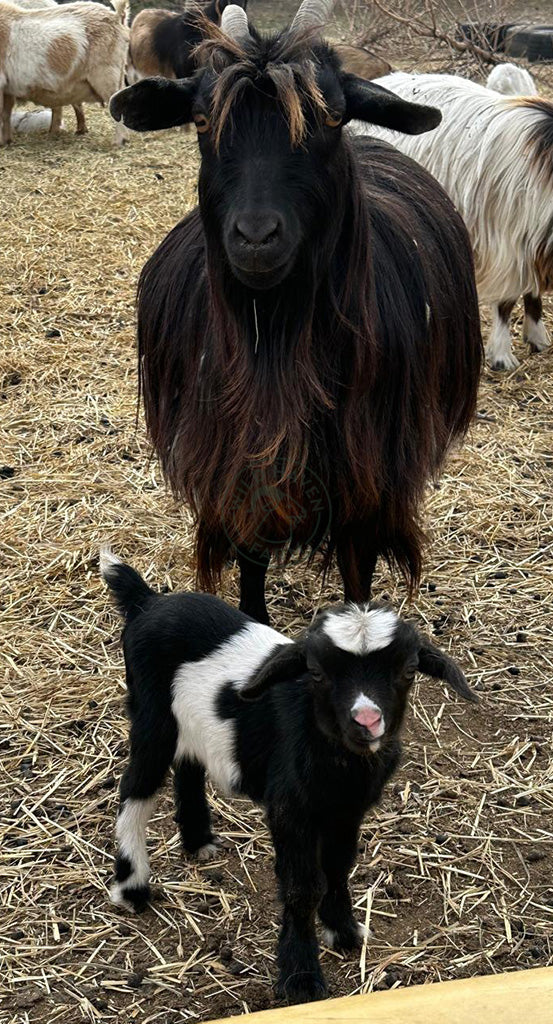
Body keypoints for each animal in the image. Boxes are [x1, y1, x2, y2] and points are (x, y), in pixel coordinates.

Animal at [102, 557, 475, 1003]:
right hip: (152, 716)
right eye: (315, 672)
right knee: (135, 790)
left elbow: (338, 868)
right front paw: (301, 977)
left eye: (408, 670)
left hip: (190, 723)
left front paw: (344, 932)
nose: (366, 722)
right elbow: (302, 887)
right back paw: (132, 887)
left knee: (189, 767)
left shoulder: (347, 811)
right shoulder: (290, 810)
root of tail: (148, 601)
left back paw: (198, 841)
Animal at [110, 0, 481, 622]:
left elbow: (358, 573)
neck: (279, 348)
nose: (257, 237)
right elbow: (251, 564)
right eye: (202, 121)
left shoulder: (368, 480)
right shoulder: (239, 472)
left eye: (331, 118)